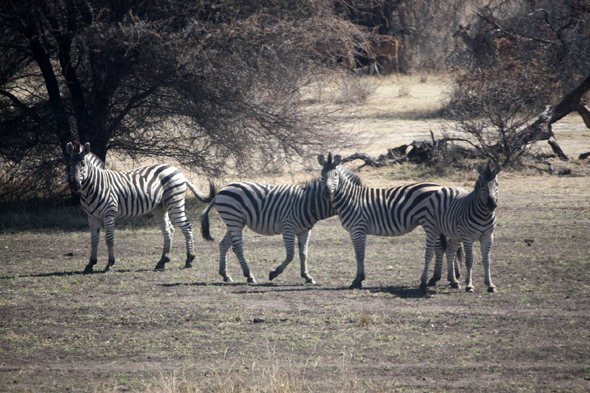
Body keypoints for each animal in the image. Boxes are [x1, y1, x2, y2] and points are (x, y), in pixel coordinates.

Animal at [67, 141, 215, 272]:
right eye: (69, 165)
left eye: (83, 165)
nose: (75, 185)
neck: (94, 187)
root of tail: (177, 170)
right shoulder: (92, 216)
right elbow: (94, 240)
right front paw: (90, 264)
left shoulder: (110, 213)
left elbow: (109, 239)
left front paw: (109, 265)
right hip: (160, 207)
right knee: (168, 230)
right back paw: (162, 261)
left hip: (175, 202)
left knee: (187, 227)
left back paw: (189, 260)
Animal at [201, 176, 354, 284]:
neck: (307, 204)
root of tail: (221, 191)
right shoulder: (288, 228)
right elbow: (291, 254)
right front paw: (274, 273)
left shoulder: (304, 231)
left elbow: (303, 253)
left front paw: (307, 276)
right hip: (234, 220)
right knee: (237, 247)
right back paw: (249, 276)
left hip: (234, 222)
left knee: (224, 245)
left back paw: (225, 275)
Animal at [320, 152, 448, 288]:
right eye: (321, 174)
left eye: (335, 174)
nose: (327, 193)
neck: (350, 198)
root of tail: (439, 186)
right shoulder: (353, 231)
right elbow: (357, 254)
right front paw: (358, 278)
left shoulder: (359, 228)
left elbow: (360, 255)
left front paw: (358, 279)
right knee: (439, 247)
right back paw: (434, 278)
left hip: (429, 222)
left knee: (438, 247)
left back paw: (433, 278)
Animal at [420, 159, 504, 290]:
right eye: (481, 185)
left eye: (497, 184)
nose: (491, 205)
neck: (484, 215)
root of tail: (445, 187)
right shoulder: (467, 237)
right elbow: (469, 261)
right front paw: (469, 285)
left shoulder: (488, 236)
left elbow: (486, 261)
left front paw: (490, 284)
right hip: (432, 229)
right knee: (428, 253)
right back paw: (424, 281)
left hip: (455, 235)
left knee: (450, 252)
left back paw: (454, 280)